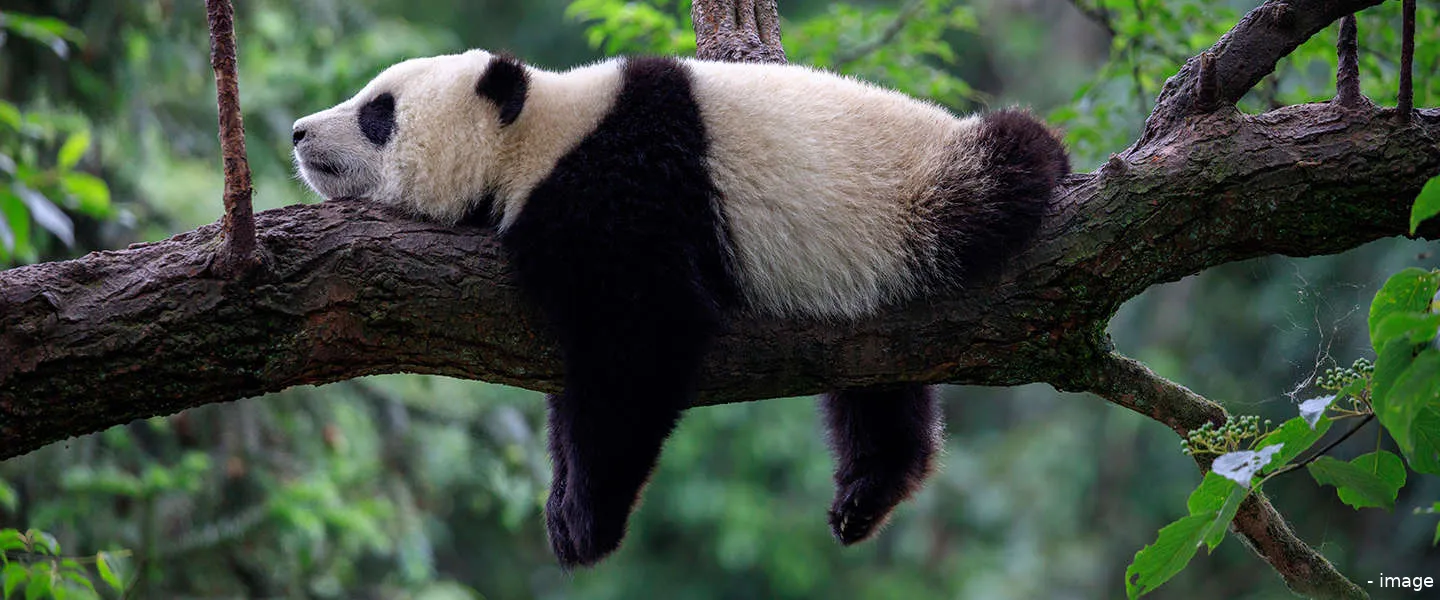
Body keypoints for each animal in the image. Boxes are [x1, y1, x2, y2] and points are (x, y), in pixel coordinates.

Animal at [292, 49, 1069, 568]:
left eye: (378, 113)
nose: (299, 132)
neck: (540, 135)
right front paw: (562, 501)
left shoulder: (624, 189)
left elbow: (643, 341)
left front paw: (586, 520)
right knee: (878, 383)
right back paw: (869, 490)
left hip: (921, 195)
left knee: (1008, 165)